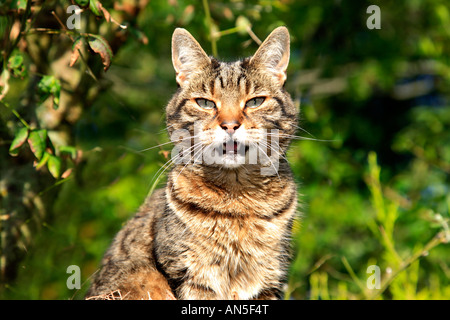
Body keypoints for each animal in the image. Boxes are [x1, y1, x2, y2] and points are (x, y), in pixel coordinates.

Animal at [87, 25, 298, 300]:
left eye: (255, 101)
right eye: (205, 103)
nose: (230, 125)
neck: (236, 198)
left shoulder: (269, 280)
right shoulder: (189, 275)